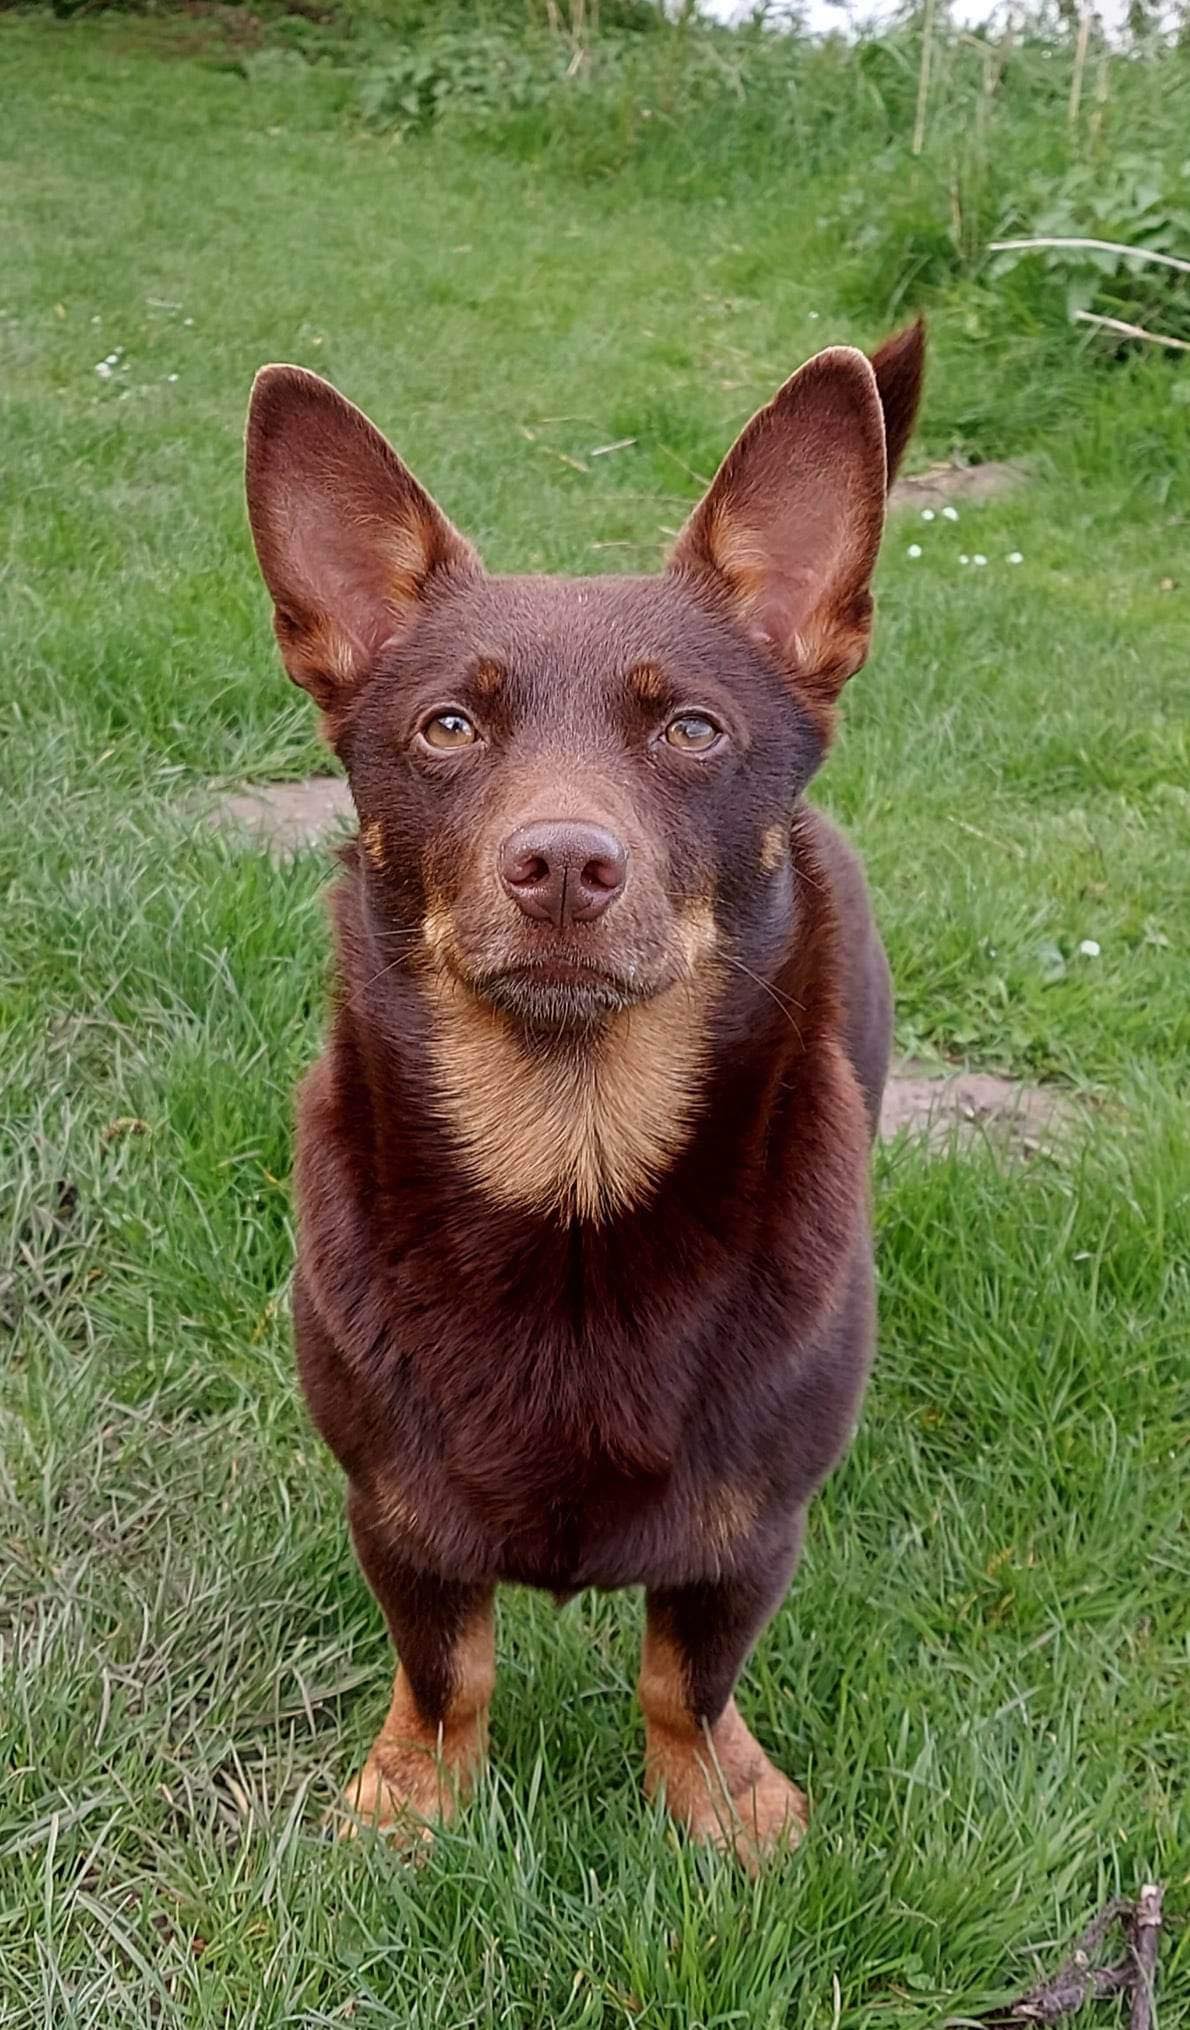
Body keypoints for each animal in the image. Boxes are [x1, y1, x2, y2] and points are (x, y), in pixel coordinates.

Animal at [240, 320, 921, 1867]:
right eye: (444, 726)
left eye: (691, 730)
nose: (562, 862)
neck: (569, 1164)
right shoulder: (396, 1507)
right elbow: (449, 1666)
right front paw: (416, 1797)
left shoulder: (749, 1529)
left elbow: (683, 1674)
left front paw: (719, 1806)